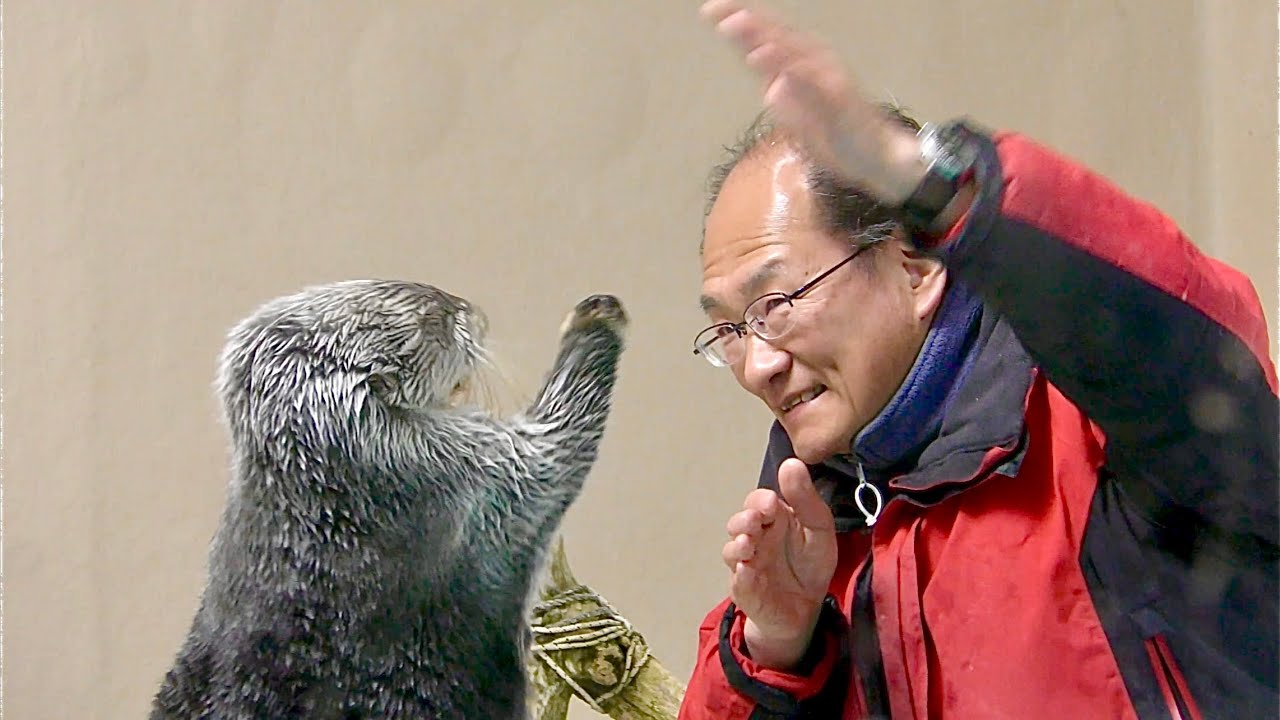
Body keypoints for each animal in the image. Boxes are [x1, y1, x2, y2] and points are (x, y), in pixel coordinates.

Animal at [149, 280, 628, 720]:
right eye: (434, 316)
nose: (473, 312)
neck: (331, 488)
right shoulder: (477, 469)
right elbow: (557, 445)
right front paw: (596, 318)